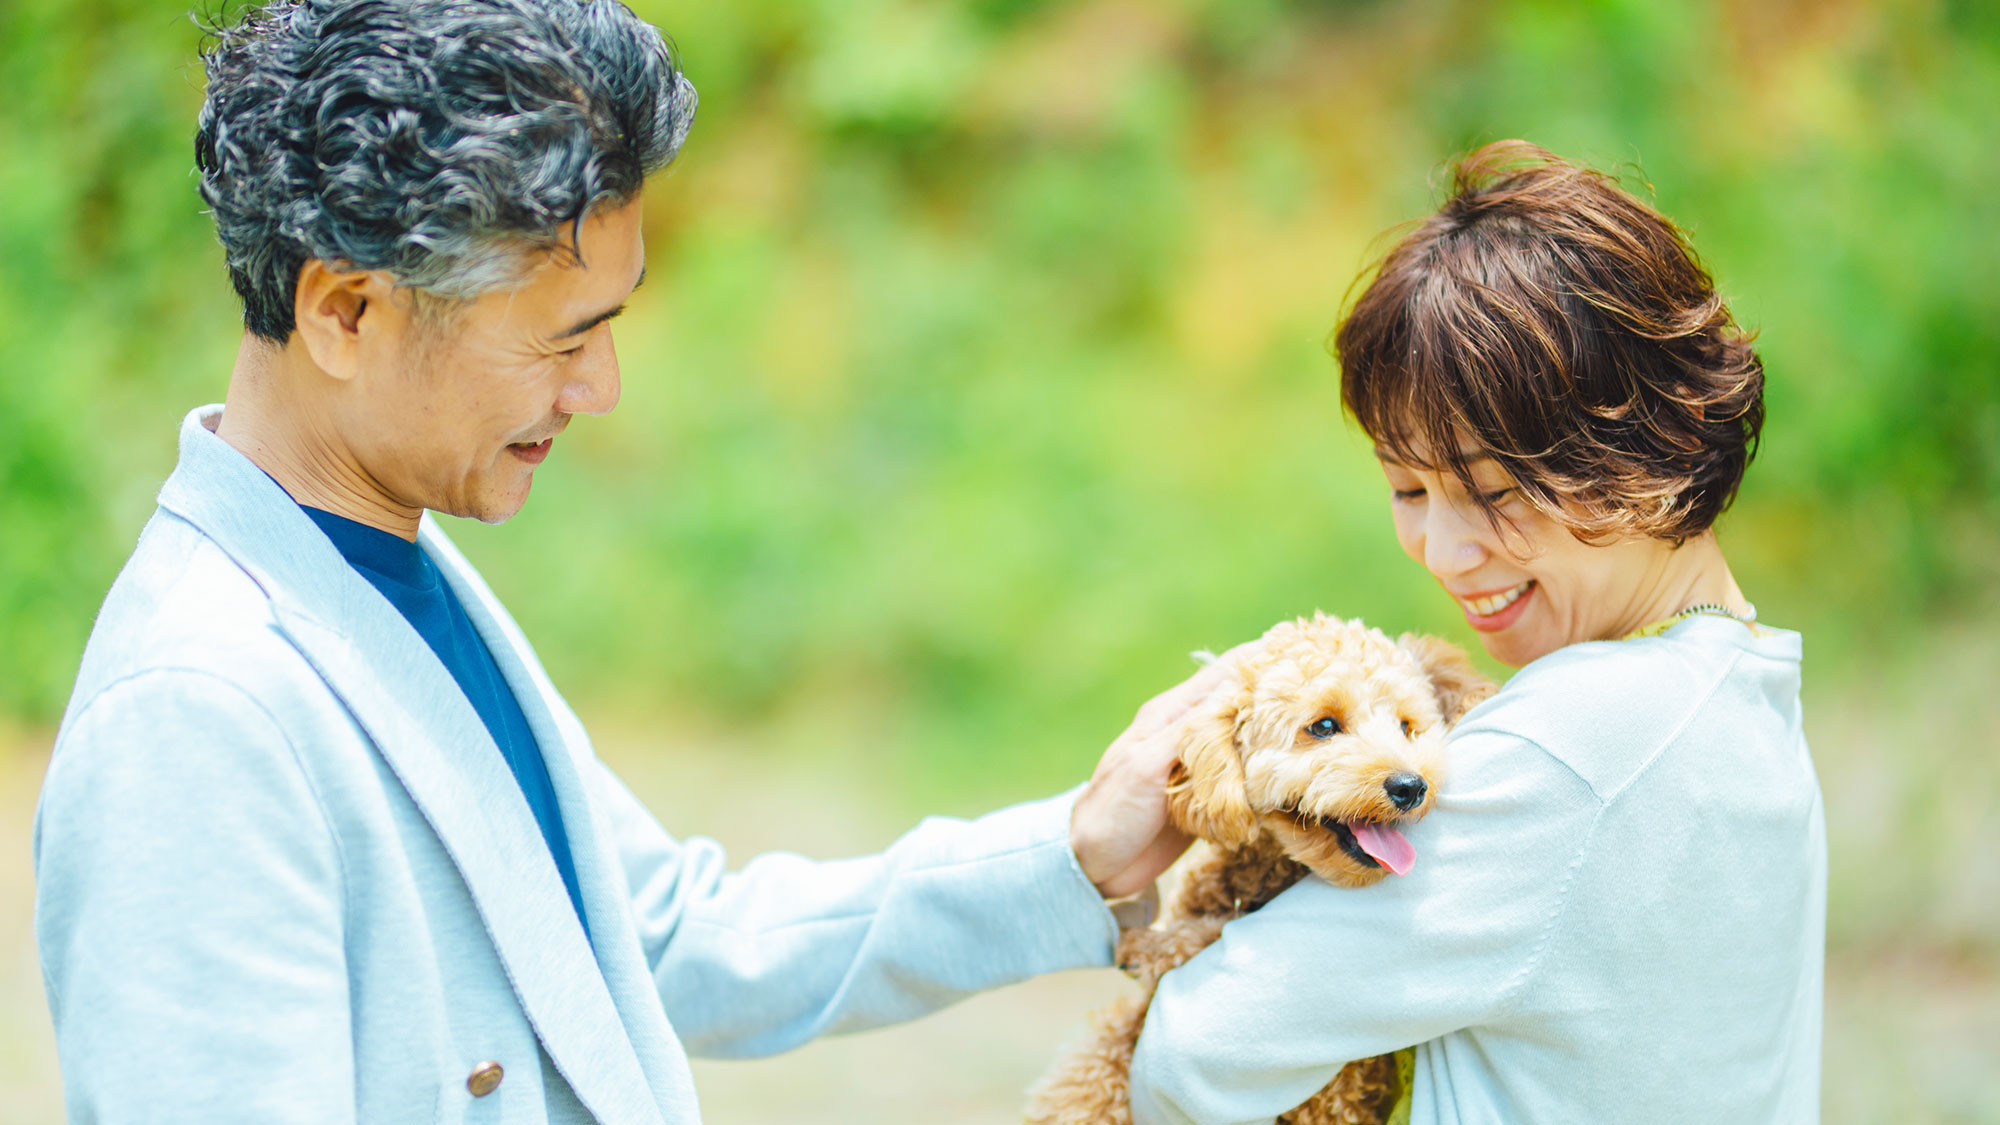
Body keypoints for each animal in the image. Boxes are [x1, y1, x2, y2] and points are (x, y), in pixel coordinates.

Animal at [1024, 612, 1496, 1120]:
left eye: (1408, 727)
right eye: (1324, 725)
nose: (1410, 786)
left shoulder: (1335, 1098)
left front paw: (1153, 947)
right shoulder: (1124, 1029)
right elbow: (1089, 1080)